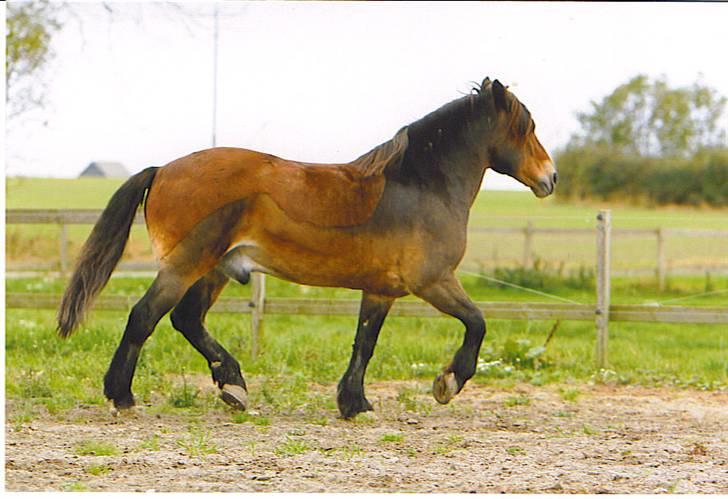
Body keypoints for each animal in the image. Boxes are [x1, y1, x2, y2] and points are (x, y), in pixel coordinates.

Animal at [58, 80, 556, 420]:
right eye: (527, 127)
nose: (549, 177)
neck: (420, 185)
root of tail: (162, 169)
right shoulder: (432, 281)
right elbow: (477, 322)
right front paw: (448, 382)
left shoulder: (381, 290)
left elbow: (365, 342)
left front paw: (354, 403)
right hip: (186, 265)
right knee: (145, 316)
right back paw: (122, 395)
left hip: (214, 269)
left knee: (187, 319)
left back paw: (233, 385)